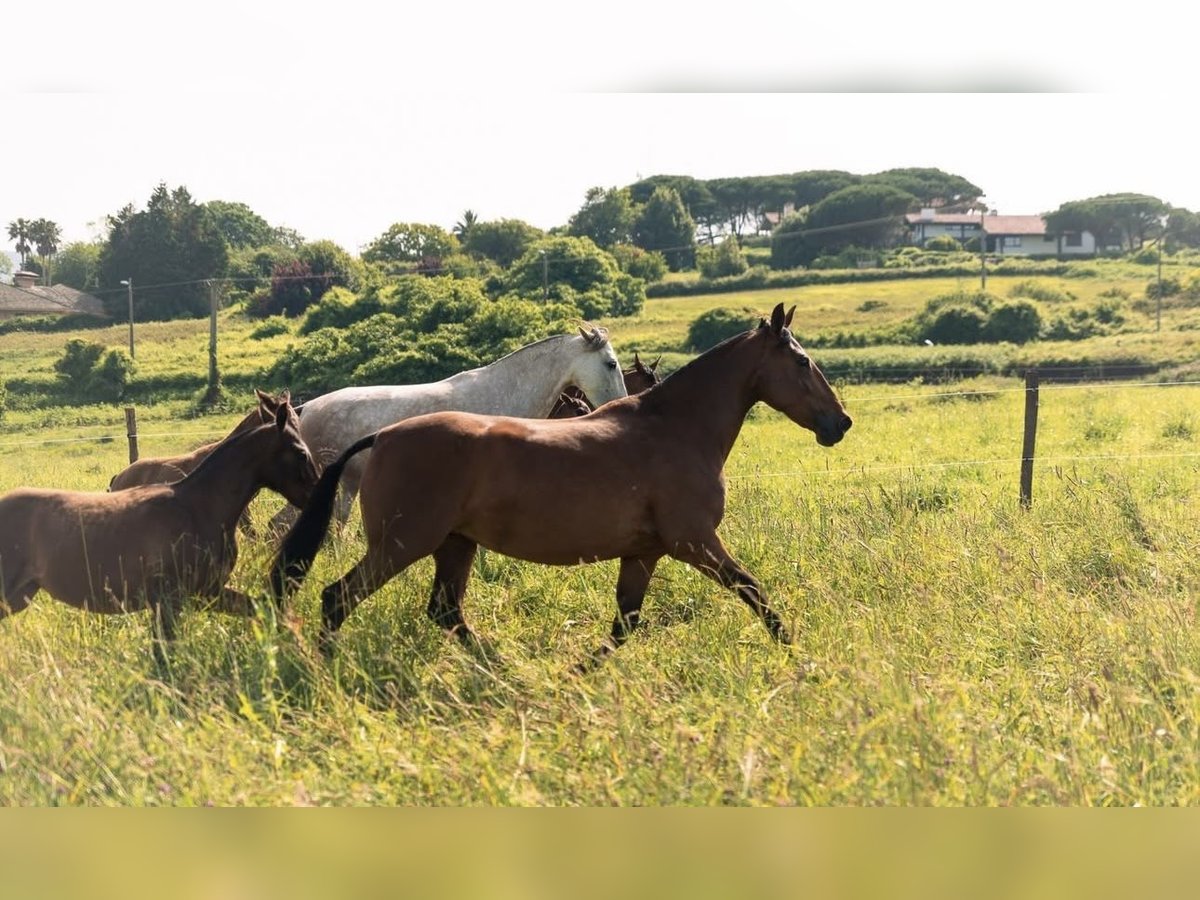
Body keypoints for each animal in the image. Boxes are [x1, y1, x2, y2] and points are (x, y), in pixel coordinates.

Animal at [0, 391, 319, 667]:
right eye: (301, 453)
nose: (316, 493)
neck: (199, 506)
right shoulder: (168, 599)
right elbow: (165, 654)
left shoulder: (207, 591)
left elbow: (268, 611)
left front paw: (305, 653)